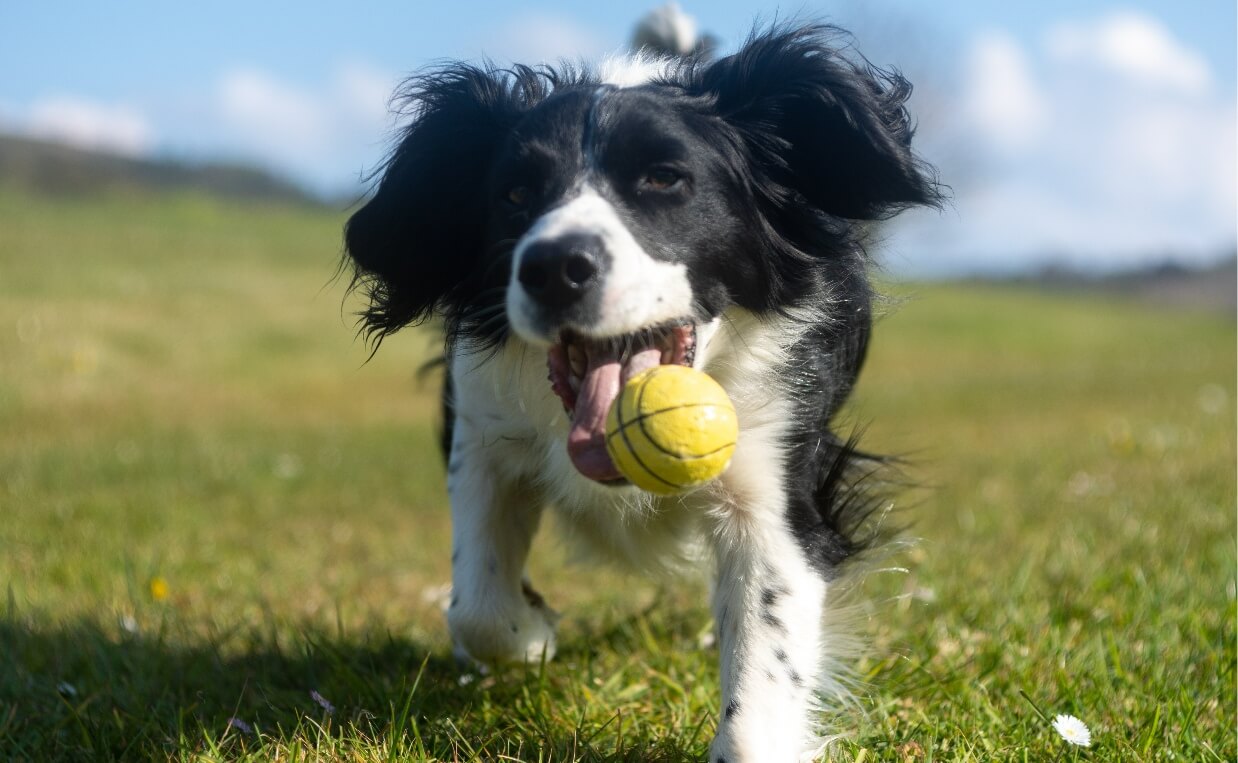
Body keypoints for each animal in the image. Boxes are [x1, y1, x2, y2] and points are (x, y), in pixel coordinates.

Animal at [341, 23, 935, 763]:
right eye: (514, 193)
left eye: (663, 178)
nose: (553, 266)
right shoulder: (480, 424)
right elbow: (477, 604)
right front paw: (533, 632)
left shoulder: (776, 467)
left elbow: (768, 629)